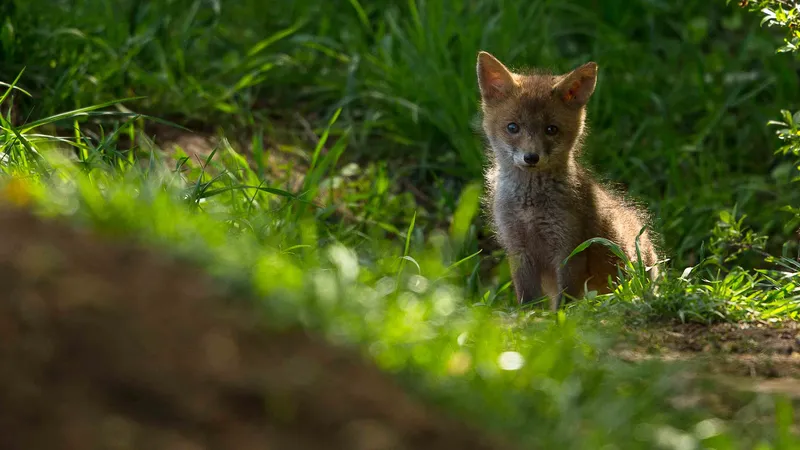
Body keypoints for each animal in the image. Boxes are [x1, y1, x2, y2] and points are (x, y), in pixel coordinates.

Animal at [478, 49, 660, 310]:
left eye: (551, 129)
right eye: (513, 127)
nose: (531, 157)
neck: (530, 208)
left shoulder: (569, 249)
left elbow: (565, 303)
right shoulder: (518, 249)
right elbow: (528, 302)